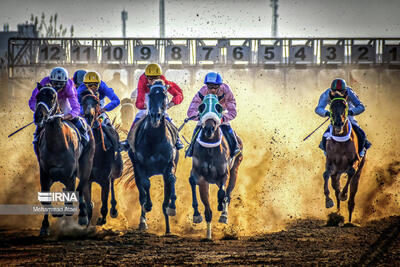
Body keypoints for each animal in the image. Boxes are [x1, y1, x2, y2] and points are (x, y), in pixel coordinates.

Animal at [33, 86, 95, 237]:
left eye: (52, 97)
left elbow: (72, 196)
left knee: (81, 188)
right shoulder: (45, 174)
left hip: (86, 166)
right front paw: (45, 226)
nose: (39, 116)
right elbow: (46, 200)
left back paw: (83, 216)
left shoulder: (71, 175)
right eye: (38, 97)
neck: (56, 145)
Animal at [80, 90, 122, 226]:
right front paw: (87, 222)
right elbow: (88, 205)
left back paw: (114, 210)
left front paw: (101, 219)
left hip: (116, 170)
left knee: (113, 182)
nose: (89, 116)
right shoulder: (86, 180)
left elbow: (104, 205)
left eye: (96, 102)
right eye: (83, 101)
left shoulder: (105, 180)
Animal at [127, 81, 179, 234]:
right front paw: (148, 205)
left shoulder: (170, 164)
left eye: (164, 95)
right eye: (150, 95)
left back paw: (168, 228)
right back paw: (143, 221)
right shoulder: (140, 165)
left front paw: (172, 207)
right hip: (136, 170)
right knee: (141, 193)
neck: (155, 139)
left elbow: (171, 179)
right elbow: (145, 185)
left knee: (164, 199)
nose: (156, 116)